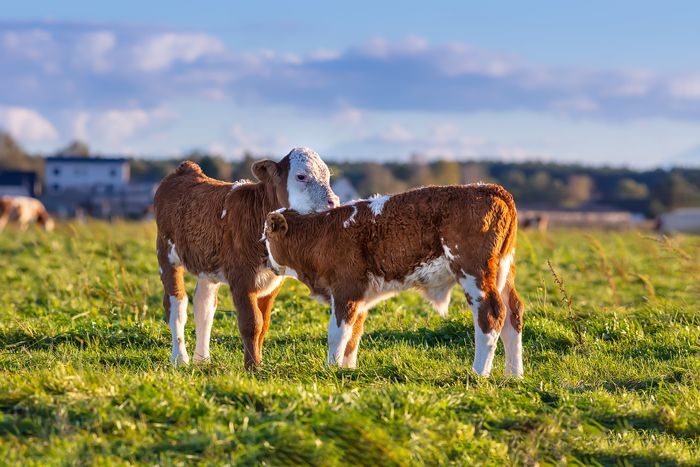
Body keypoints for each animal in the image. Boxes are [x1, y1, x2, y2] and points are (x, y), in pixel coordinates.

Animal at [154, 149, 340, 370]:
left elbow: (264, 324)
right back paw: (180, 358)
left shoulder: (273, 282)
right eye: (301, 176)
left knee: (203, 307)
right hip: (166, 254)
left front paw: (258, 363)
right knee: (177, 305)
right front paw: (252, 367)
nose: (333, 202)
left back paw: (202, 359)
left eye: (327, 176)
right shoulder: (242, 277)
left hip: (207, 267)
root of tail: (187, 169)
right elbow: (252, 323)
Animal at [264, 185, 524, 378]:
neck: (322, 235)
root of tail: (490, 189)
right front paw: (347, 371)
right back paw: (513, 375)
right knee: (513, 314)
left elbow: (337, 333)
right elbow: (353, 334)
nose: (266, 262)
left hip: (473, 272)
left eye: (266, 235)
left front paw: (331, 369)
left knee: (491, 314)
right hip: (503, 270)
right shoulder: (360, 297)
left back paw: (479, 373)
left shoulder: (346, 289)